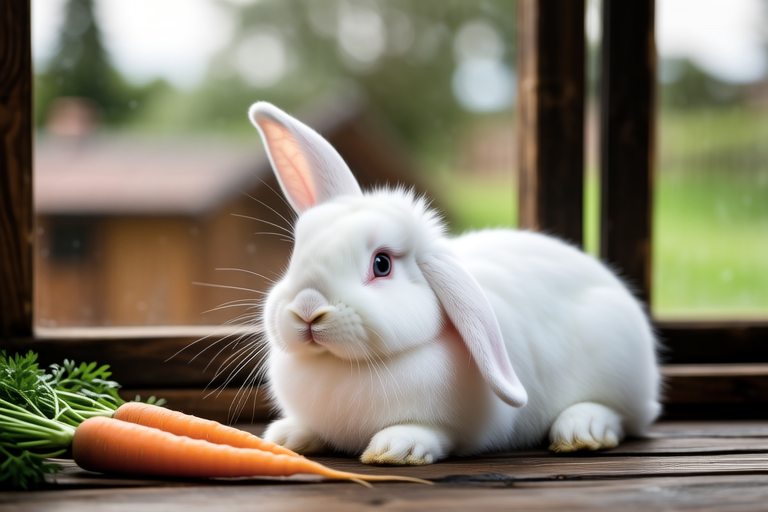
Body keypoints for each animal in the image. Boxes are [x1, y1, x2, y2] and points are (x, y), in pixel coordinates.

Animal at [247, 101, 662, 466]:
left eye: (382, 264)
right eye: (297, 251)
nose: (307, 309)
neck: (340, 366)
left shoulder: (462, 428)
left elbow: (433, 433)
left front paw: (397, 448)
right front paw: (286, 435)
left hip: (618, 364)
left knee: (623, 415)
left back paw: (581, 430)